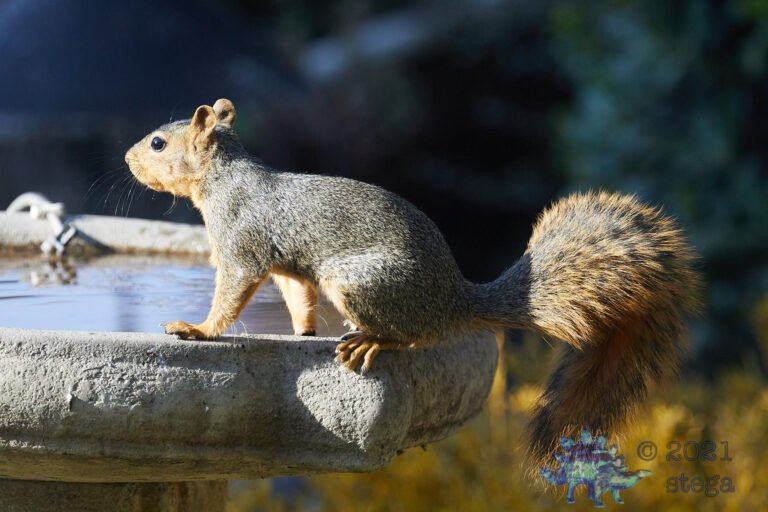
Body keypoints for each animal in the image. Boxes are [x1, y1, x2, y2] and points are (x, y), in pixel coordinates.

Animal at [125, 98, 701, 465]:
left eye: (158, 143)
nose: (128, 157)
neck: (223, 179)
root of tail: (455, 300)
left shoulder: (242, 247)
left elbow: (230, 296)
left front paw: (199, 329)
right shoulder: (286, 266)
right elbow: (299, 297)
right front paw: (303, 332)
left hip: (360, 280)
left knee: (415, 336)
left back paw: (370, 340)